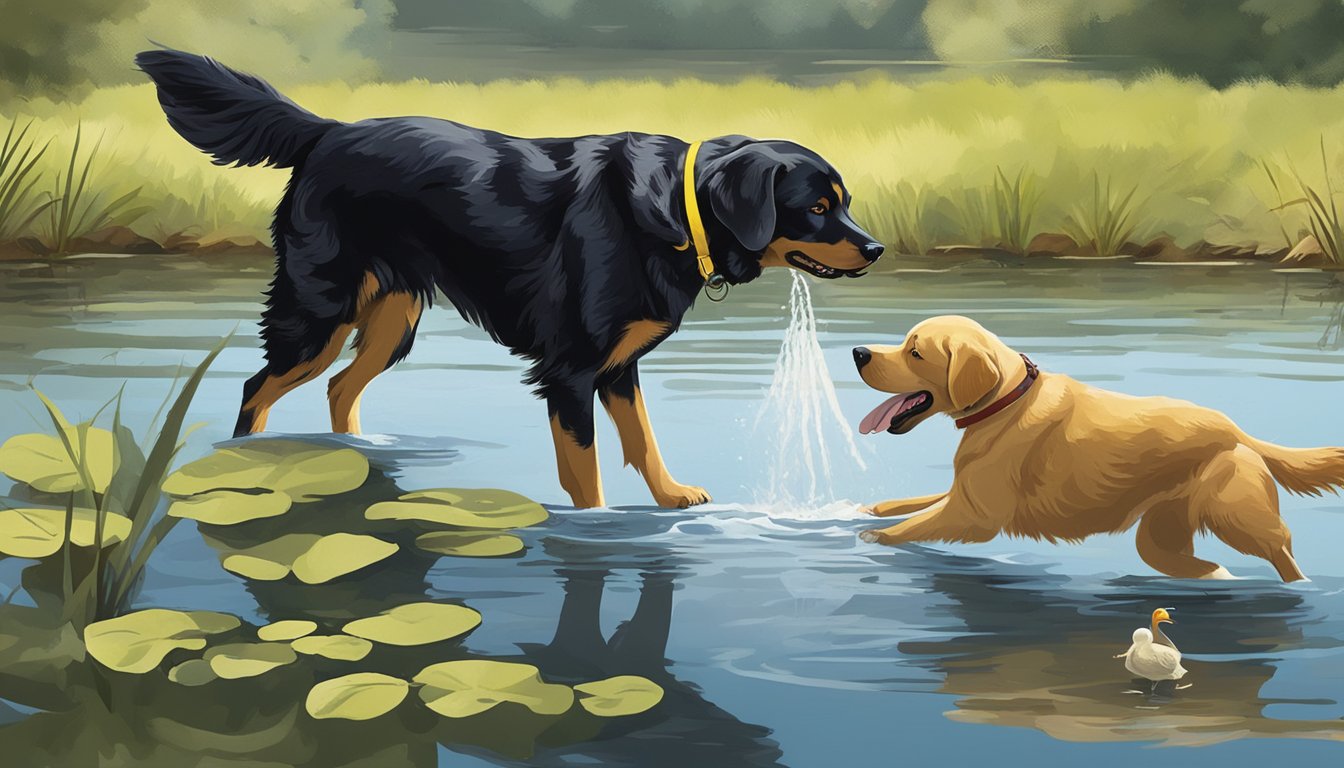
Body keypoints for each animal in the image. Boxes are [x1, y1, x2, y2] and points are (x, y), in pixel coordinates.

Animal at [136, 49, 881, 511]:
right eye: (819, 207)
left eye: (842, 202)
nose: (874, 248)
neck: (674, 207)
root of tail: (326, 131)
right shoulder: (572, 371)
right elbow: (586, 470)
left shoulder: (618, 368)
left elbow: (643, 439)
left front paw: (670, 497)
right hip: (319, 311)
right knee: (257, 390)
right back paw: (244, 471)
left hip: (392, 317)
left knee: (340, 387)